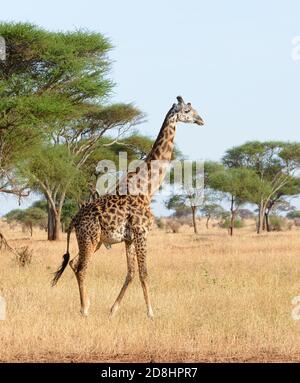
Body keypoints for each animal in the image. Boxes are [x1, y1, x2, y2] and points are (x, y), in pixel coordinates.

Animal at [52, 96, 205, 318]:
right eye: (187, 110)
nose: (201, 120)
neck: (147, 187)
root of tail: (74, 220)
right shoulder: (142, 232)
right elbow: (144, 273)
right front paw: (151, 313)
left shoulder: (129, 238)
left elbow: (131, 273)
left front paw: (113, 309)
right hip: (90, 238)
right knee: (81, 267)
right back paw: (84, 309)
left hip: (95, 241)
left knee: (73, 262)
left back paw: (87, 303)